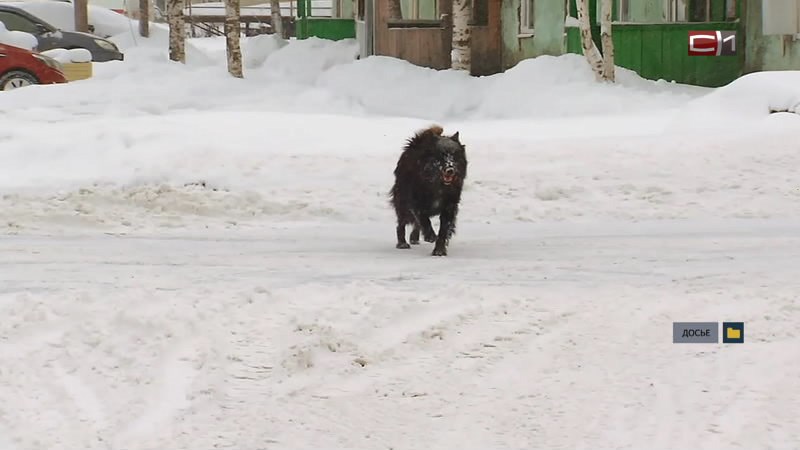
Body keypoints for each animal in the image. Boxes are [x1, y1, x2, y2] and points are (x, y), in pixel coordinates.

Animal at [390, 125, 466, 256]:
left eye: (455, 155)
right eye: (441, 155)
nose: (450, 169)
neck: (437, 185)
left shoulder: (449, 206)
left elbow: (443, 230)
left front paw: (439, 250)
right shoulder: (416, 202)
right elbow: (424, 220)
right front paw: (430, 236)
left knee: (415, 224)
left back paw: (414, 238)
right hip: (402, 203)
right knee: (401, 224)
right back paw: (402, 243)